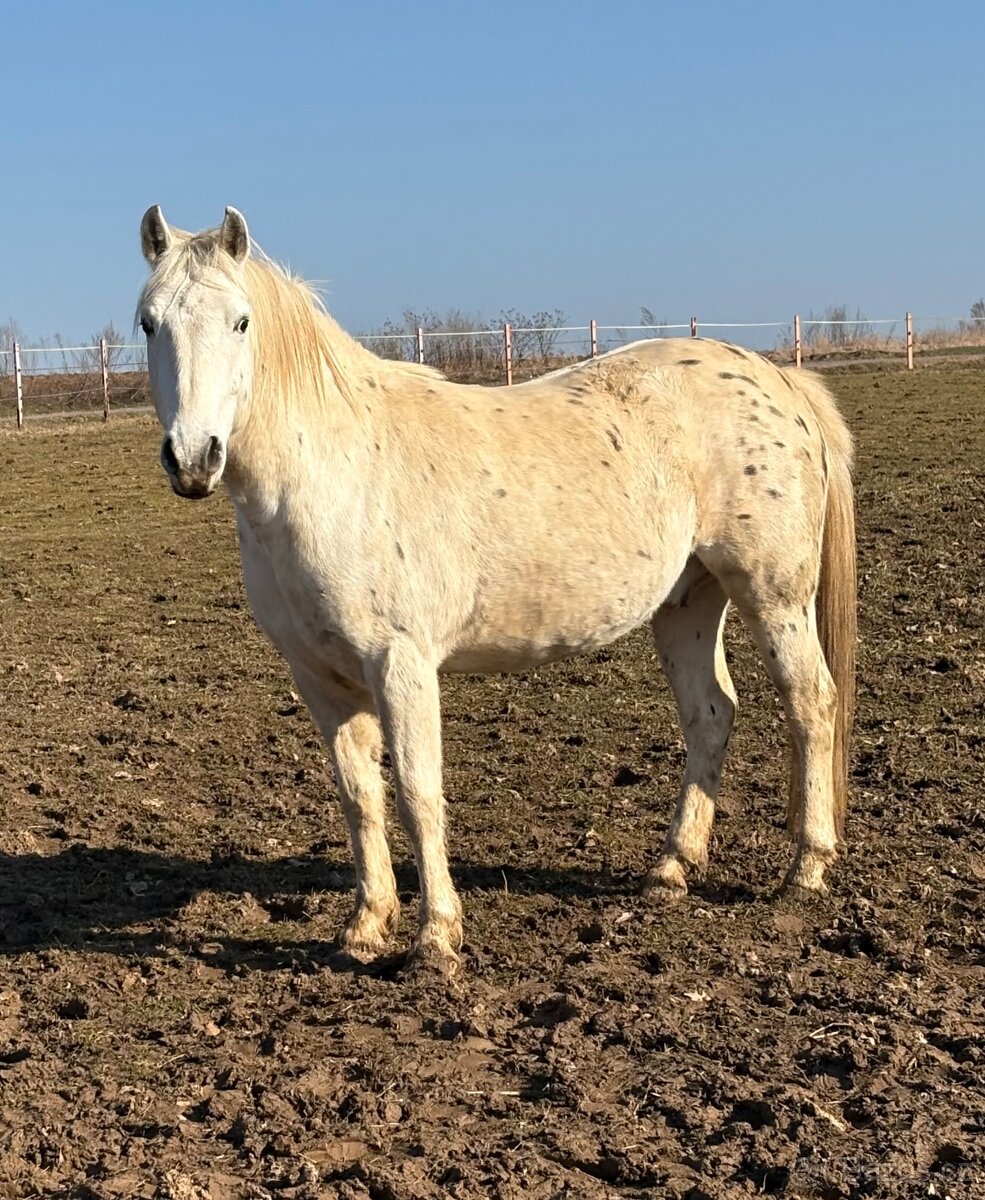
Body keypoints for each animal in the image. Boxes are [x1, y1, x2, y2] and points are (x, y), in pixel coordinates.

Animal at [137, 205, 856, 975]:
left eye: (240, 321)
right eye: (148, 322)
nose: (193, 458)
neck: (329, 471)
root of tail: (778, 380)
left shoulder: (401, 664)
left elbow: (417, 792)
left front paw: (435, 938)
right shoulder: (319, 676)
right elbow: (358, 797)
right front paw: (365, 929)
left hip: (771, 595)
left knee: (811, 705)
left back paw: (805, 871)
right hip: (686, 602)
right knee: (710, 715)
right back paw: (671, 869)